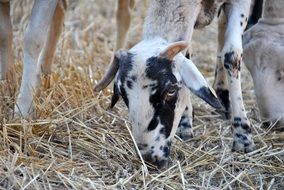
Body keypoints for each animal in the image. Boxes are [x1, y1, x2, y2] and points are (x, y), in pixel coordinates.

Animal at [96, 0, 258, 168]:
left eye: (171, 91)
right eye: (123, 95)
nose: (149, 158)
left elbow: (231, 56)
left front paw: (243, 136)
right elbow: (187, 54)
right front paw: (185, 123)